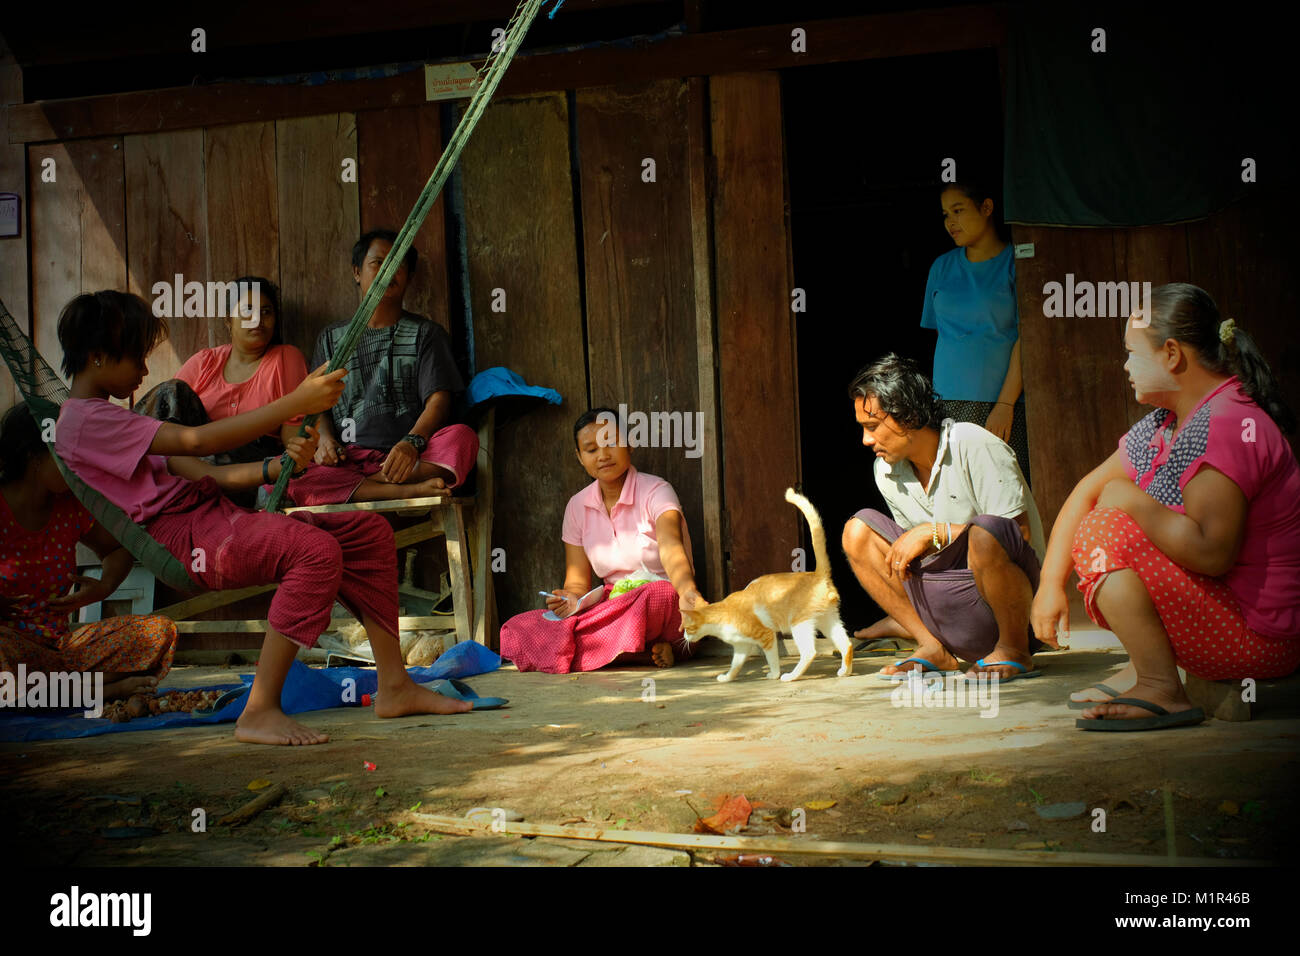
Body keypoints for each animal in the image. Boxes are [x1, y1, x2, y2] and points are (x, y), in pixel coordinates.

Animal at [681, 489, 852, 686]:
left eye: (686, 628)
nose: (684, 638)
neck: (721, 615)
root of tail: (818, 574)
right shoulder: (742, 647)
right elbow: (735, 666)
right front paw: (727, 677)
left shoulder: (766, 635)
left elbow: (772, 659)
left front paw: (774, 674)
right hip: (827, 620)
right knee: (846, 643)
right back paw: (845, 671)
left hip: (799, 623)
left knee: (810, 652)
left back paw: (791, 676)